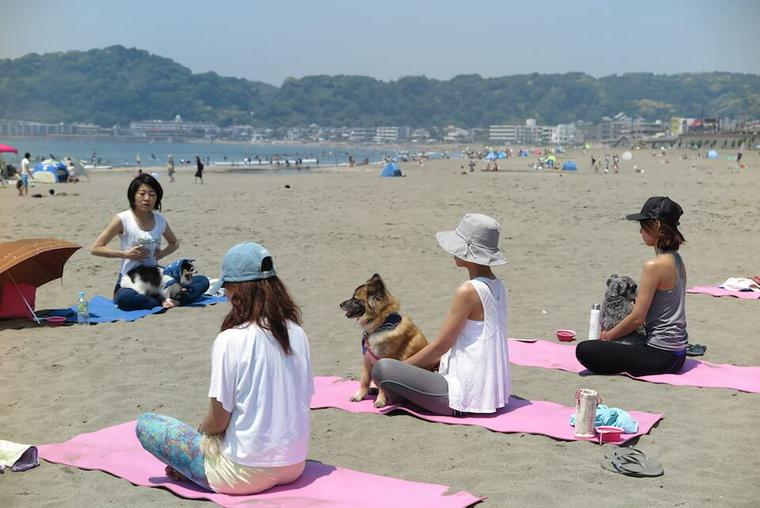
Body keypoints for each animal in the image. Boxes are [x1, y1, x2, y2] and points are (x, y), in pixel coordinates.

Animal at [338, 274, 428, 408]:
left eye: (355, 299)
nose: (340, 304)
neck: (382, 325)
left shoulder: (384, 360)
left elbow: (382, 385)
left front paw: (380, 400)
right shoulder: (367, 359)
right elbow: (364, 380)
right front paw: (360, 395)